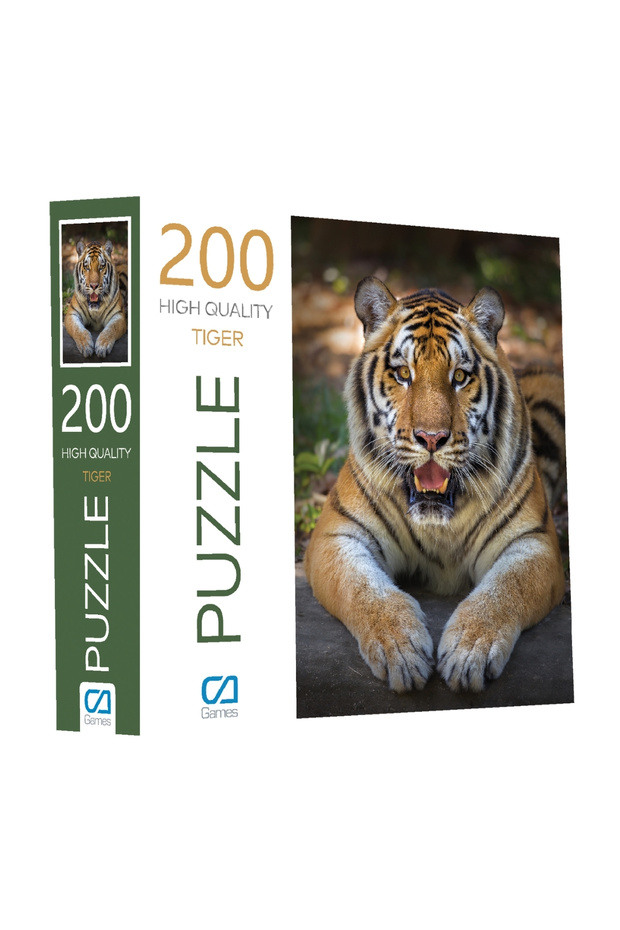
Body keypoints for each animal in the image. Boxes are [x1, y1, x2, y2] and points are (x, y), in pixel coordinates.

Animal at [304, 276, 566, 693]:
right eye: (402, 374)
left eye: (459, 377)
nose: (431, 438)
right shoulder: (337, 535)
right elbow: (364, 590)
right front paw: (401, 648)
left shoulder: (534, 542)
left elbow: (504, 592)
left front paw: (468, 652)